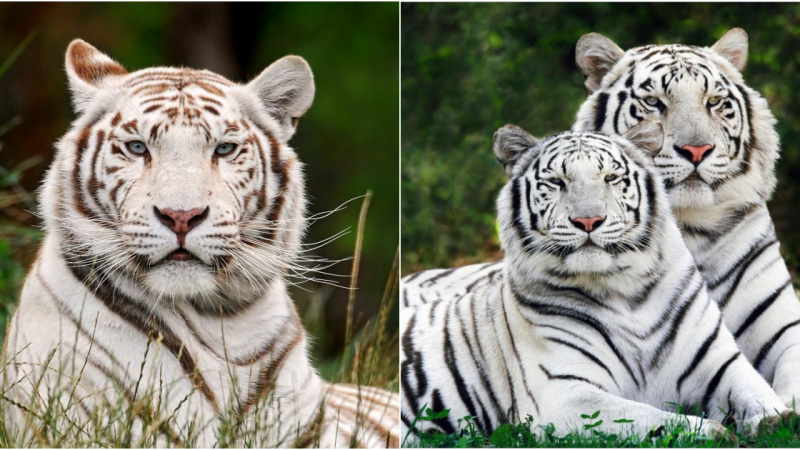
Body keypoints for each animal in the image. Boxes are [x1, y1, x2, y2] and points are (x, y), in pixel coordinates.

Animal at [404, 122, 792, 440]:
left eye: (610, 178)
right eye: (557, 183)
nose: (588, 221)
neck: (627, 292)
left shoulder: (718, 362)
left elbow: (753, 388)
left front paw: (776, 419)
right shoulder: (565, 395)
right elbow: (645, 418)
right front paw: (712, 432)